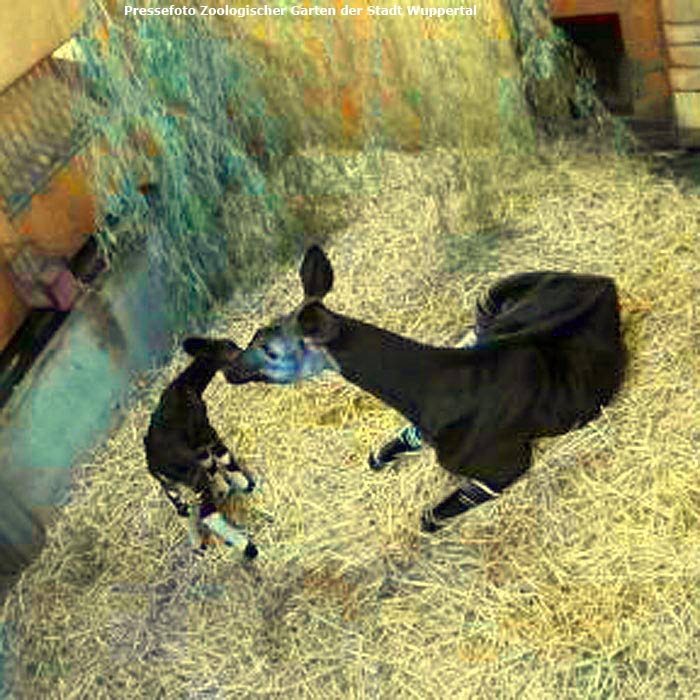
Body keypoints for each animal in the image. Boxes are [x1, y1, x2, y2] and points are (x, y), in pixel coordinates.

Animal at [145, 338, 266, 556]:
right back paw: (248, 548)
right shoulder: (205, 431)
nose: (247, 356)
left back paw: (197, 544)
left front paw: (223, 489)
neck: (186, 385)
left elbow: (211, 463)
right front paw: (245, 484)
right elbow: (224, 457)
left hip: (172, 488)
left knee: (183, 512)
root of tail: (156, 468)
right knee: (207, 513)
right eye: (232, 350)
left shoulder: (197, 444)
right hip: (193, 478)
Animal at [238, 245, 628, 532]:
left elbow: (427, 519)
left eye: (270, 351)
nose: (231, 369)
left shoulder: (503, 469)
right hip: (496, 300)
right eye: (257, 333)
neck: (436, 390)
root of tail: (604, 282)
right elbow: (378, 456)